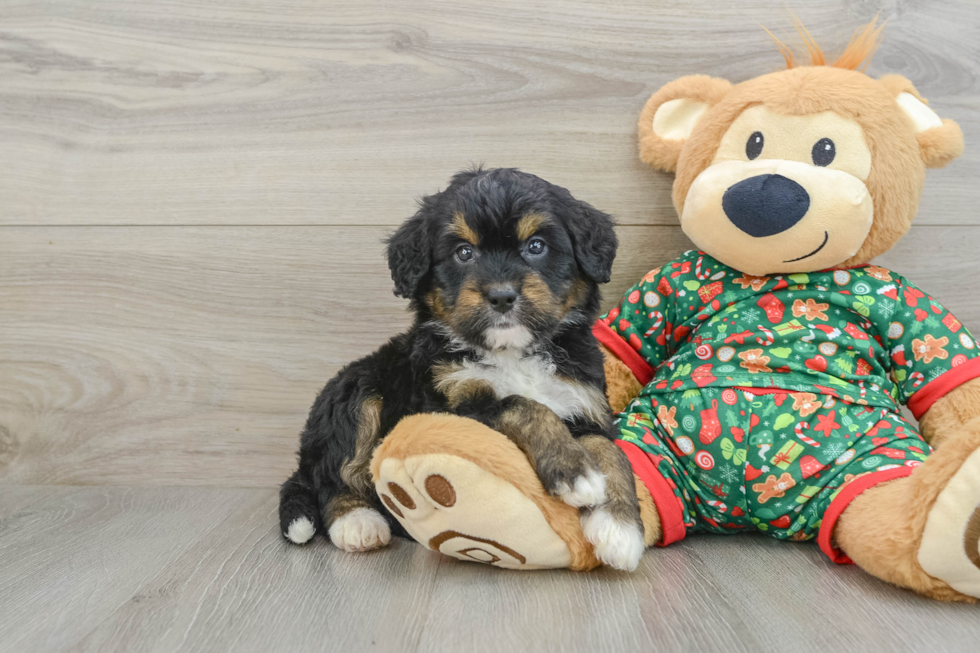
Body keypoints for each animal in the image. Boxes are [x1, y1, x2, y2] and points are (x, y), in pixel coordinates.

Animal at [278, 169, 644, 572]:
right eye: (464, 253)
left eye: (536, 246)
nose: (501, 296)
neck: (511, 352)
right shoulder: (453, 405)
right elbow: (522, 405)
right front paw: (573, 470)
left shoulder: (585, 403)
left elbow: (611, 452)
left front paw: (620, 528)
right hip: (357, 390)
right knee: (332, 476)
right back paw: (357, 522)